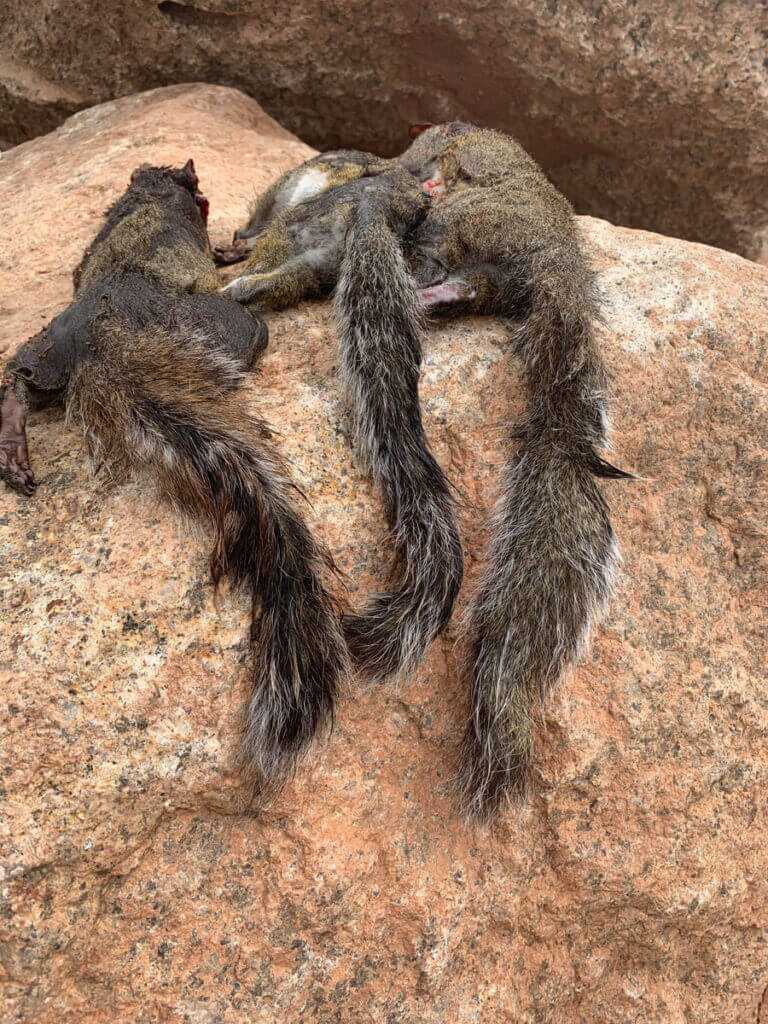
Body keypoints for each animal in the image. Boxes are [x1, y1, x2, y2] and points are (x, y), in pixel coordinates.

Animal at [0, 162, 348, 794]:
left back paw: (12, 445)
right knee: (245, 332)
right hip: (219, 324)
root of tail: (110, 337)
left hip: (47, 350)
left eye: (144, 173)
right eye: (199, 190)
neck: (153, 197)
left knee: (19, 376)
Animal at [220, 159, 465, 682]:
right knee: (282, 279)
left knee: (264, 259)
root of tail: (375, 205)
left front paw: (232, 244)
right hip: (312, 259)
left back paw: (233, 280)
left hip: (299, 227)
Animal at [397, 122, 631, 820]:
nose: (416, 165)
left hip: (474, 223)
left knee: (460, 254)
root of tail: (559, 271)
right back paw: (434, 290)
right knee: (476, 285)